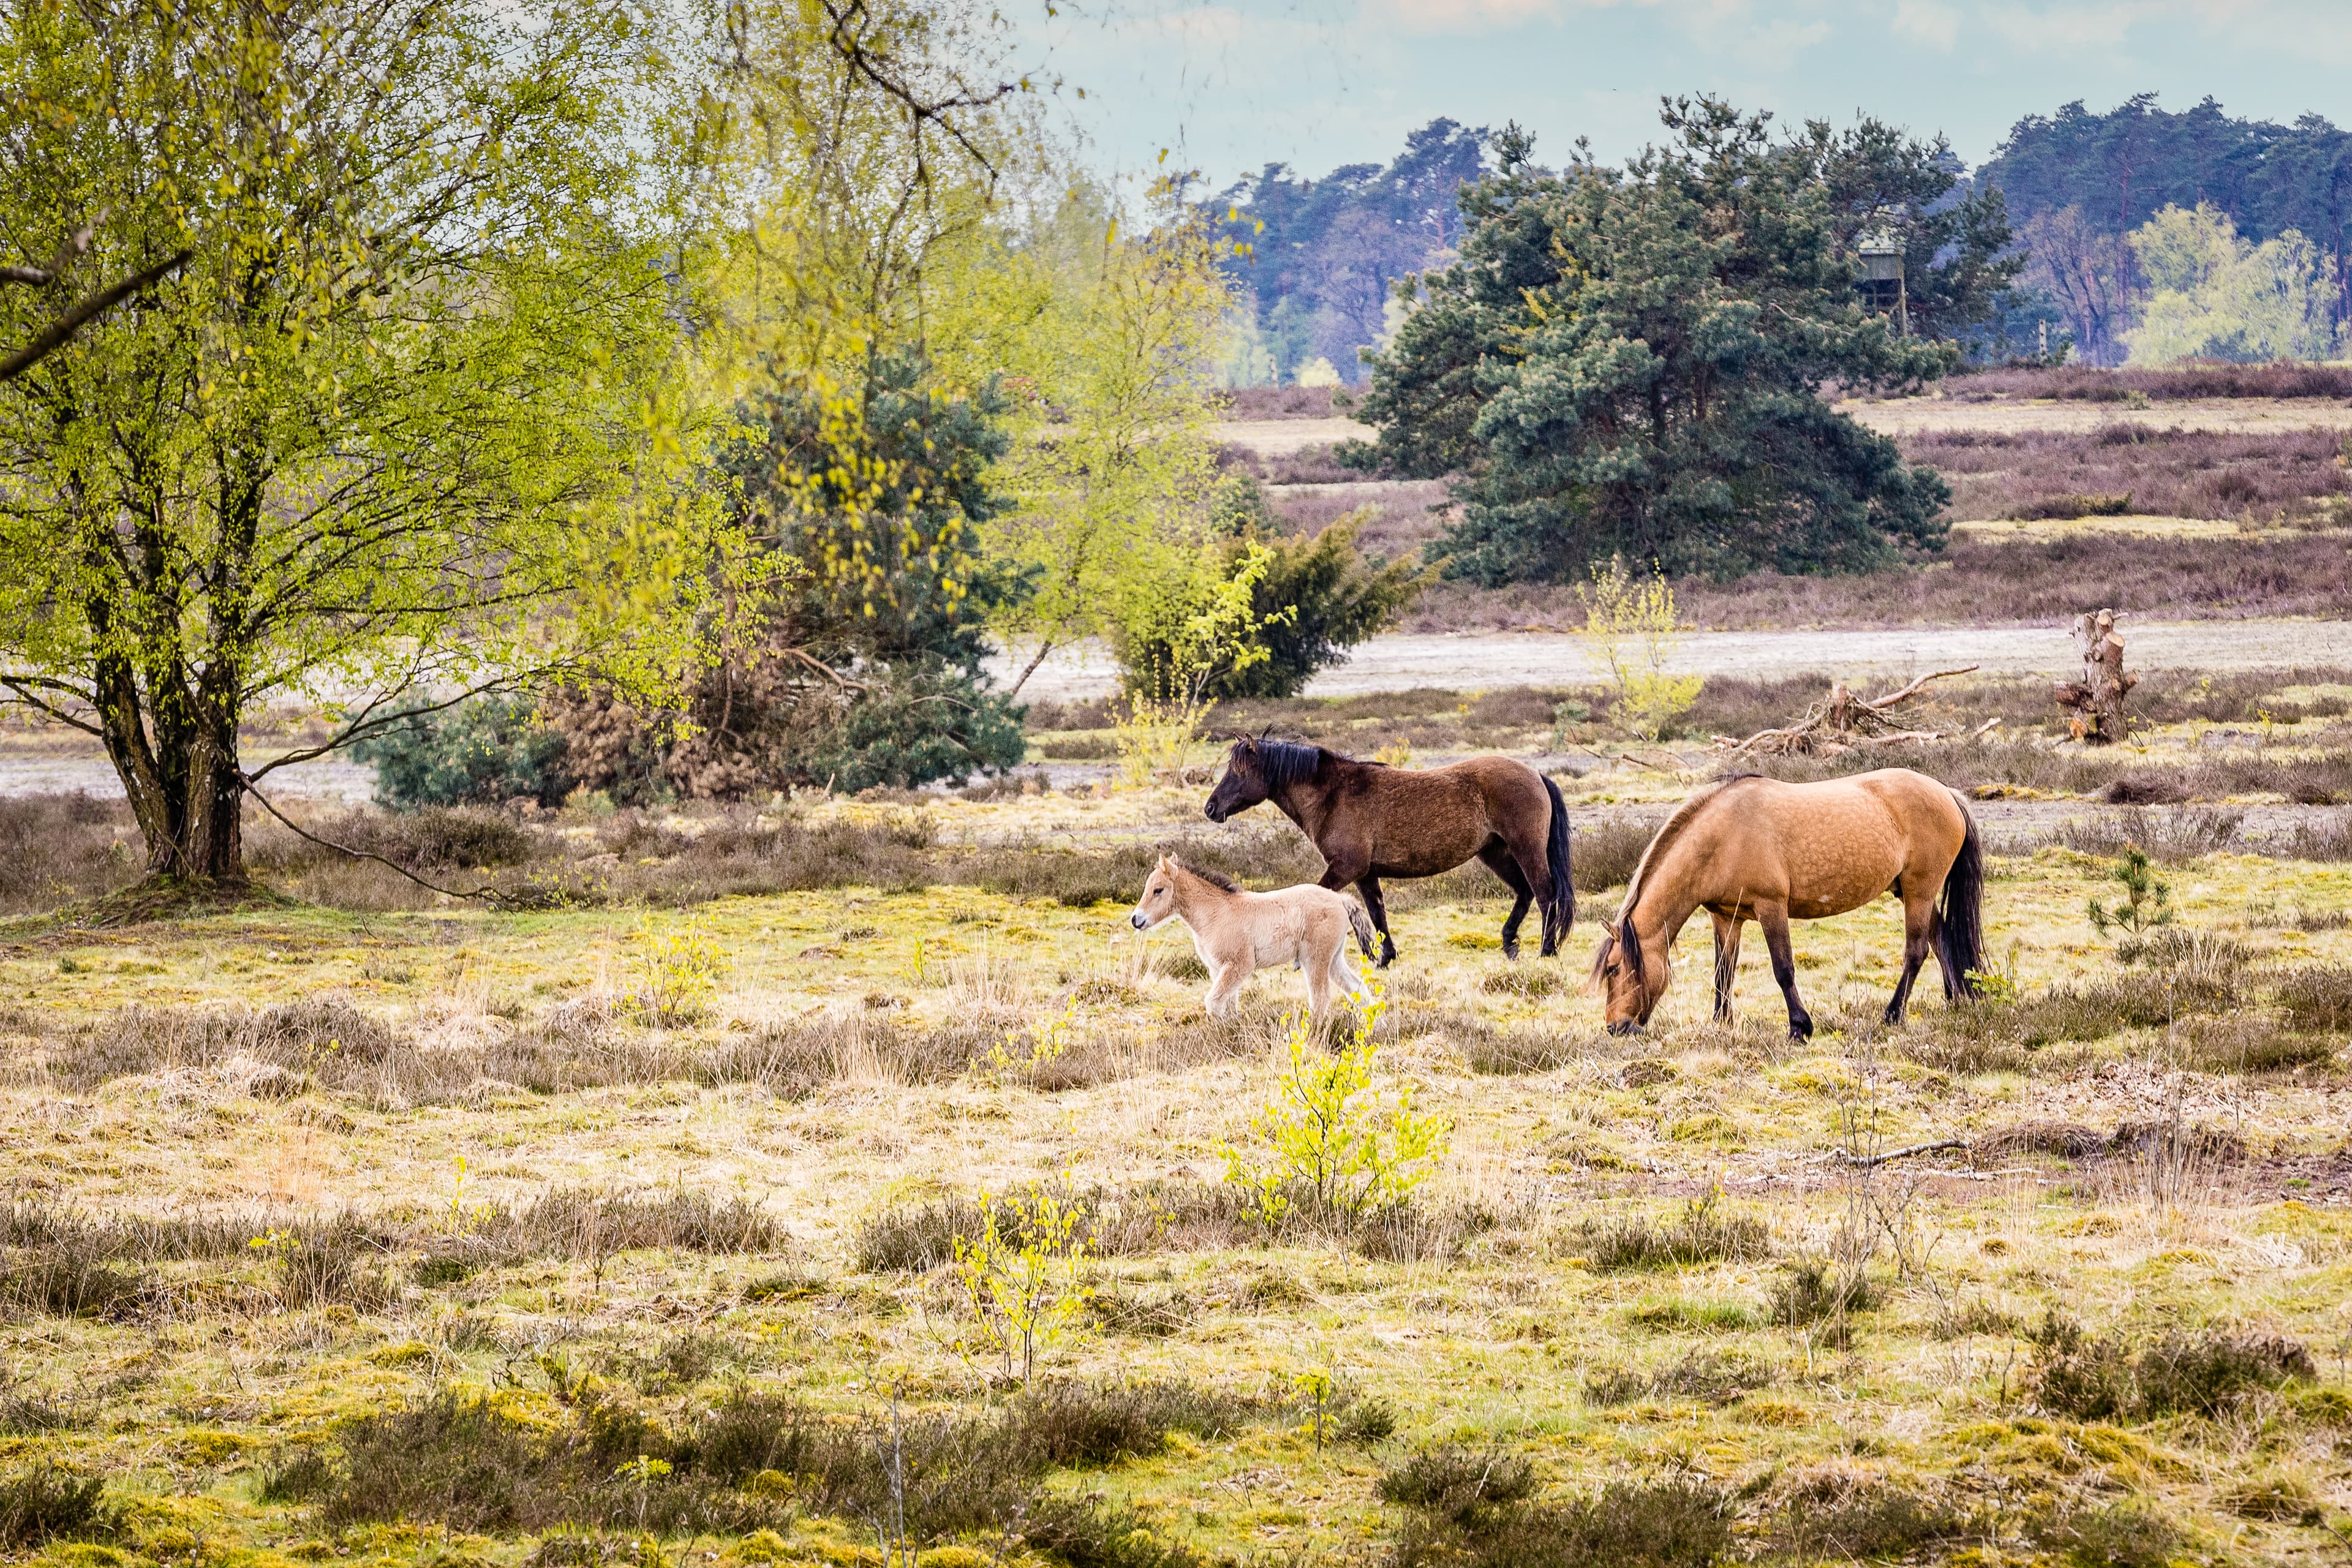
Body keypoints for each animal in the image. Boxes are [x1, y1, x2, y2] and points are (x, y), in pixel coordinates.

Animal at [1124, 851, 1373, 1025]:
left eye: (1158, 890)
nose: (1136, 920)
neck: (1216, 912)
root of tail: (1339, 899)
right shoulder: (1219, 969)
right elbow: (1229, 1005)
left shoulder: (1239, 965)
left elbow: (1213, 1003)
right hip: (1334, 959)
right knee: (1358, 989)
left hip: (1315, 959)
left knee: (1321, 998)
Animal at [1204, 738, 1571, 968]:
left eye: (1238, 771)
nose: (1211, 807)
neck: (1333, 795)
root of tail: (1536, 774)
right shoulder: (1365, 874)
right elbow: (1376, 913)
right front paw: (1383, 957)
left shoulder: (1346, 868)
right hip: (1495, 853)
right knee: (1525, 892)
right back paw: (1510, 944)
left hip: (1525, 849)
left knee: (1545, 894)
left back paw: (1546, 950)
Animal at [1580, 766, 1985, 1034]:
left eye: (1613, 969)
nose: (1616, 1027)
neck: (1721, 837)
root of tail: (1947, 793)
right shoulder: (1726, 917)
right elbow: (1723, 972)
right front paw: (1722, 1023)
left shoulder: (1771, 907)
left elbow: (1783, 968)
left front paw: (1800, 1027)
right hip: (1911, 892)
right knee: (1942, 939)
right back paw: (1957, 1000)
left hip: (1919, 891)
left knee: (1917, 951)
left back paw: (1893, 1015)